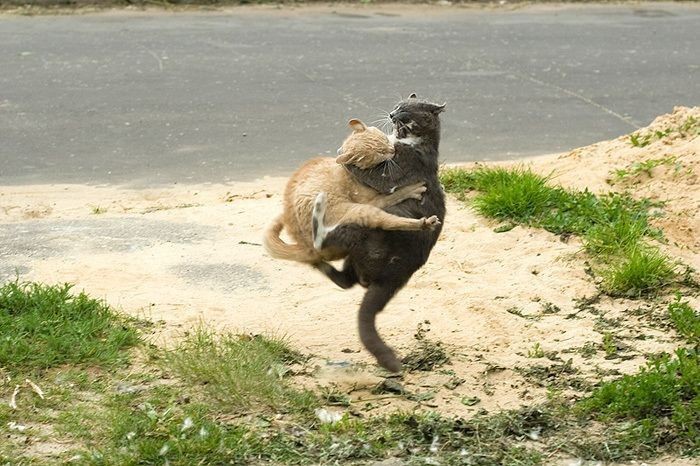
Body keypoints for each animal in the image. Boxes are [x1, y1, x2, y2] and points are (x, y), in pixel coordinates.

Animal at [262, 119, 438, 266]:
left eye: (385, 140)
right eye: (380, 154)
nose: (392, 150)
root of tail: (308, 248)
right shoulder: (373, 200)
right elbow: (394, 194)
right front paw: (414, 189)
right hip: (361, 211)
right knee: (390, 222)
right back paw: (424, 222)